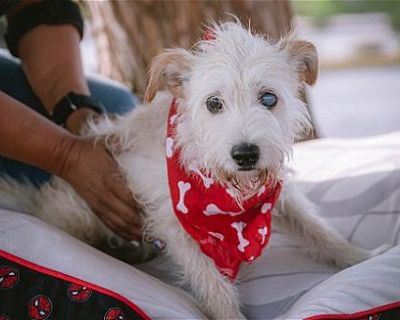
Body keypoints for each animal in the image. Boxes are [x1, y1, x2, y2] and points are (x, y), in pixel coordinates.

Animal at [0, 21, 390, 318]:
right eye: (213, 103)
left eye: (269, 98)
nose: (245, 155)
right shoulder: (173, 221)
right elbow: (213, 283)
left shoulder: (278, 193)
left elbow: (317, 229)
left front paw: (360, 258)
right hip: (76, 214)